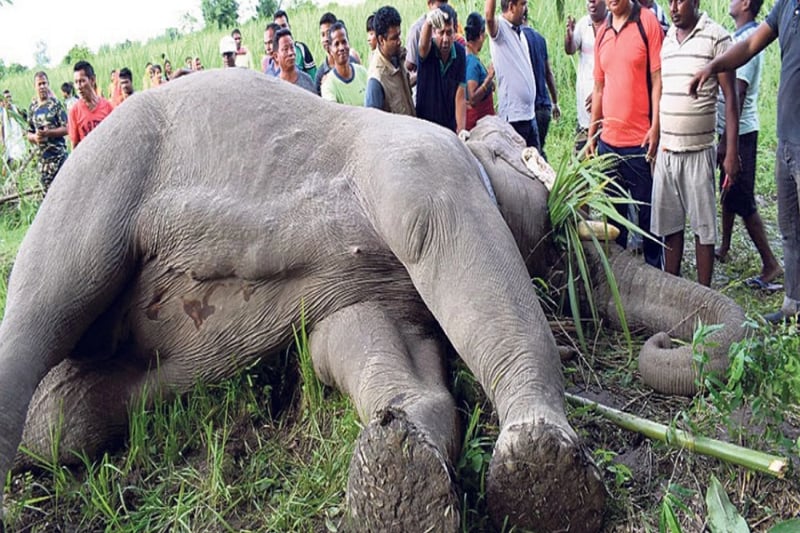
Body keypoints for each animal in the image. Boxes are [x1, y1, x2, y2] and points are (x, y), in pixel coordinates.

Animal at [0, 69, 746, 532]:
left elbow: (357, 340)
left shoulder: (370, 292)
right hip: (100, 174)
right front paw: (544, 475)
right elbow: (461, 260)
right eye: (563, 236)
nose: (673, 339)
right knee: (45, 300)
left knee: (64, 421)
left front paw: (400, 477)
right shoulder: (425, 166)